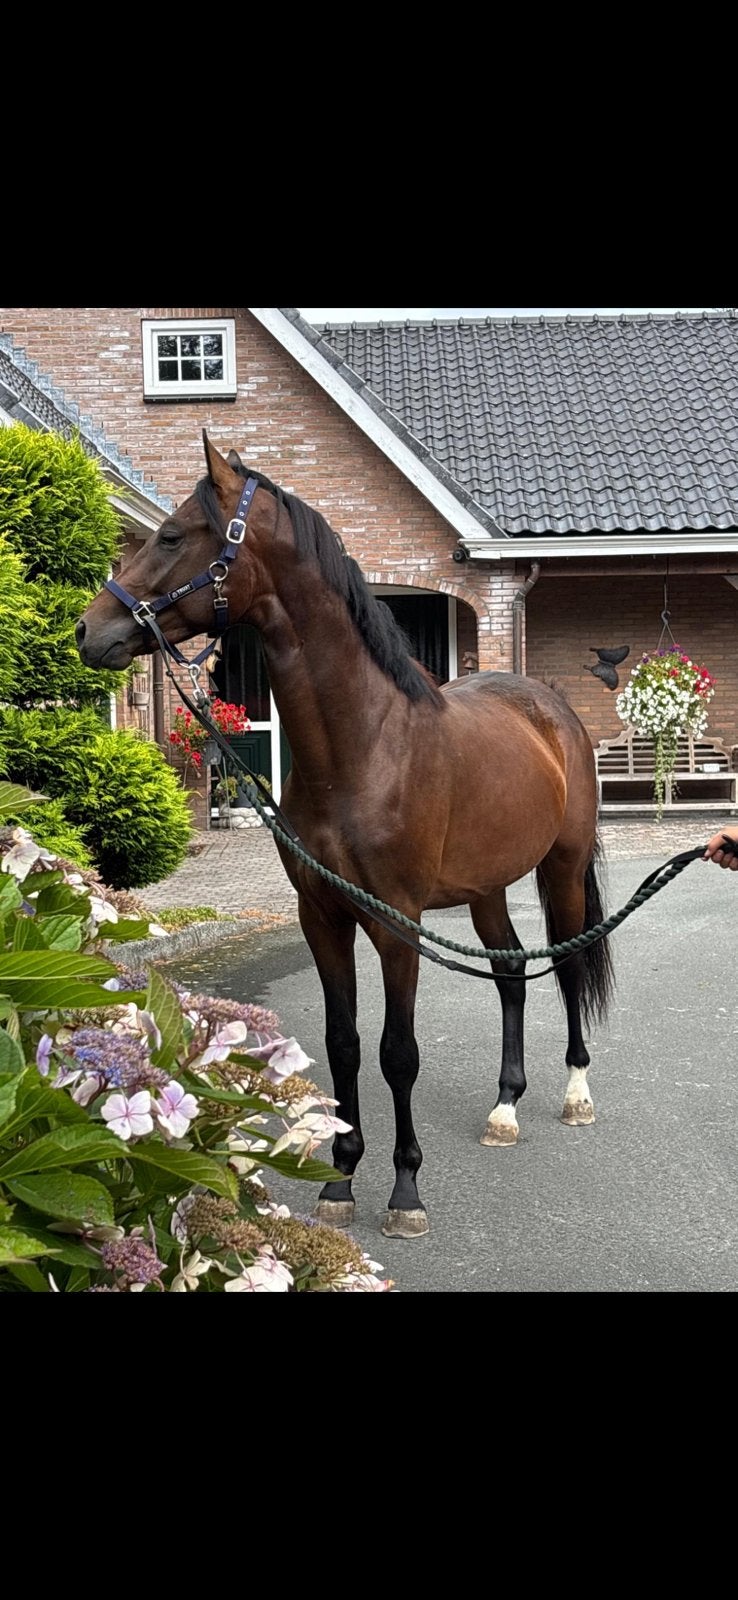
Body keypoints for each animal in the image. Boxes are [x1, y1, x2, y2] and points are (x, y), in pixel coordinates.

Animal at [77, 433, 614, 1239]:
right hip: (485, 888)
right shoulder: (322, 915)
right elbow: (344, 1044)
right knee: (512, 970)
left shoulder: (398, 923)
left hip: (562, 867)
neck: (364, 746)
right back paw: (504, 1108)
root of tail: (549, 707)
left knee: (570, 966)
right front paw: (340, 1179)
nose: (89, 630)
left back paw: (575, 1095)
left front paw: (405, 1191)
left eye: (172, 536)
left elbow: (398, 1053)